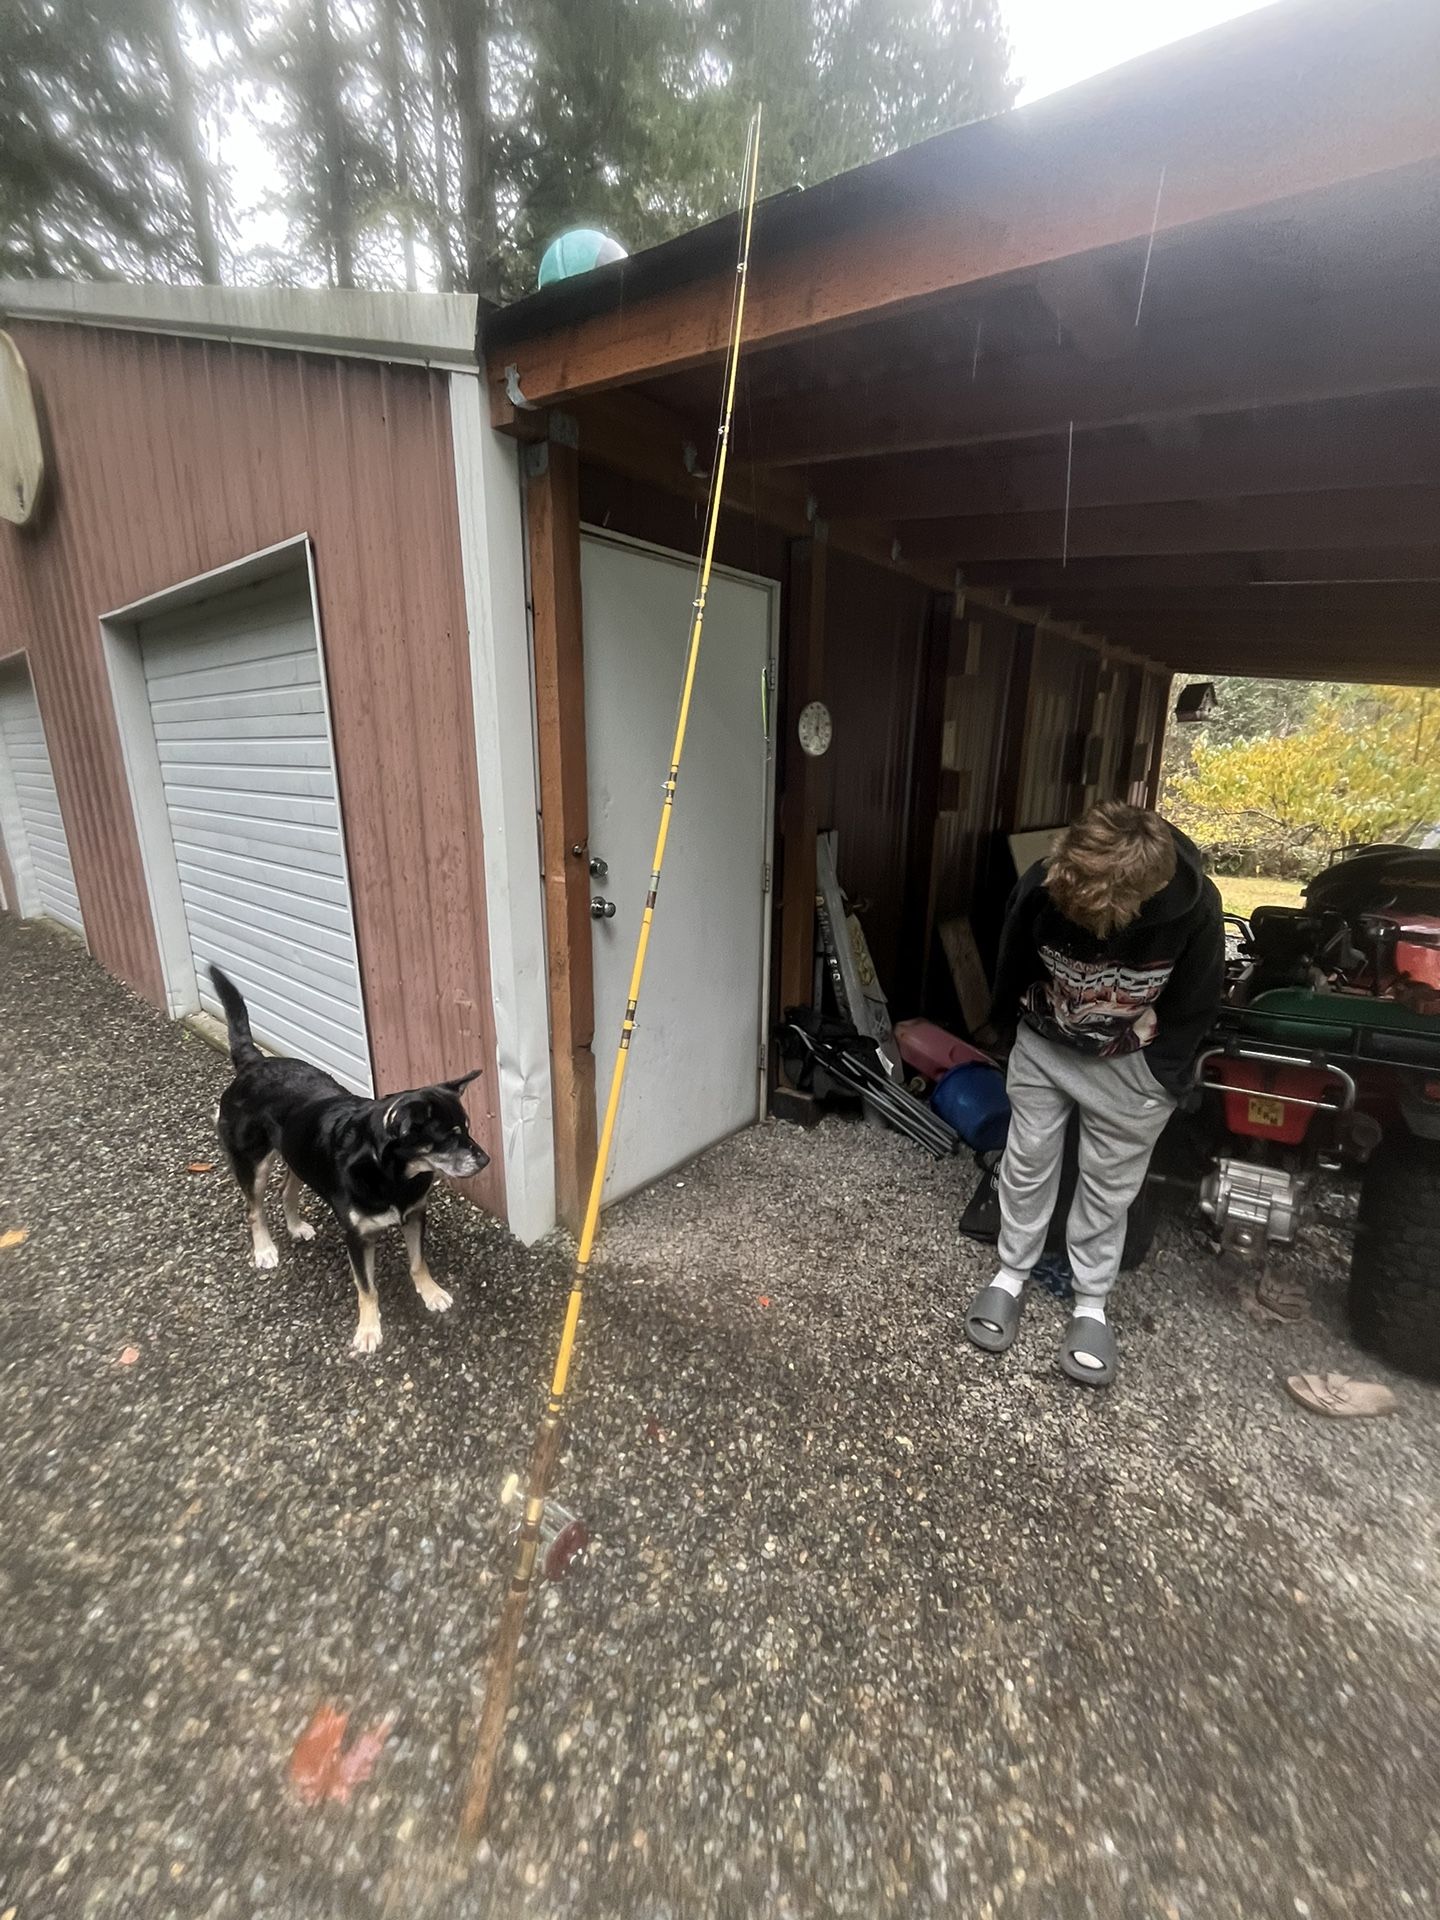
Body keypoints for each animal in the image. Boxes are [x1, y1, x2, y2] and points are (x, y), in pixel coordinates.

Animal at [209, 965, 489, 1354]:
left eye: (466, 1128)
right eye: (448, 1137)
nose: (486, 1160)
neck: (393, 1174)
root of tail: (254, 1062)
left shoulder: (415, 1213)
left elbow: (418, 1262)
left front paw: (431, 1293)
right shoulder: (356, 1237)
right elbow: (367, 1288)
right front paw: (368, 1330)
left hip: (298, 1153)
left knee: (285, 1191)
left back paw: (295, 1226)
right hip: (253, 1162)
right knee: (254, 1209)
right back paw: (264, 1249)